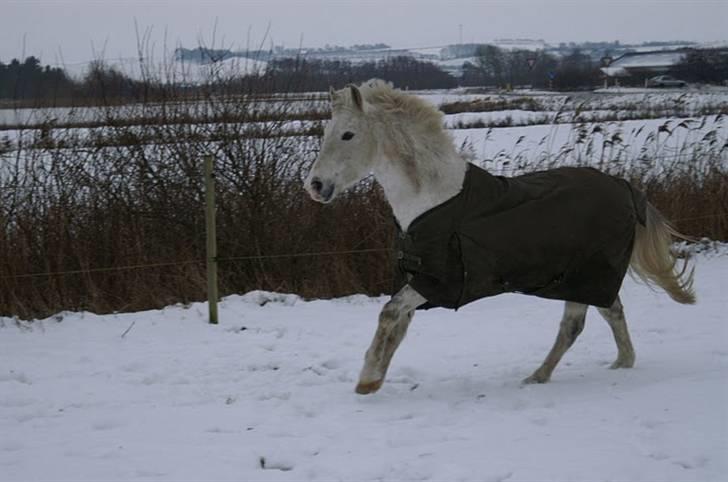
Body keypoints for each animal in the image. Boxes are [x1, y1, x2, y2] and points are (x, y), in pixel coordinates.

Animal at [302, 80, 692, 396]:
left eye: (348, 134)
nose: (316, 186)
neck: (432, 199)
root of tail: (623, 186)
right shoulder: (416, 277)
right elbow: (398, 325)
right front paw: (373, 380)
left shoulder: (439, 282)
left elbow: (389, 314)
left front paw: (367, 380)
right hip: (579, 276)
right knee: (599, 316)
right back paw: (586, 369)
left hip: (588, 272)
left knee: (581, 322)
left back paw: (551, 375)